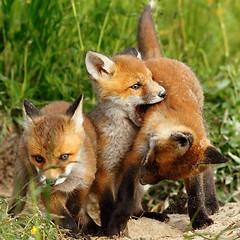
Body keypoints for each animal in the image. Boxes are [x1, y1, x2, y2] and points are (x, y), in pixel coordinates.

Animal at [7, 95, 97, 234]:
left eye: (64, 156)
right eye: (38, 158)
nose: (50, 181)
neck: (68, 182)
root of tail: (58, 102)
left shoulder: (85, 182)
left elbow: (75, 207)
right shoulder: (48, 191)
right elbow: (64, 216)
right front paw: (73, 231)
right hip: (21, 175)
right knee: (18, 202)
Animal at [85, 50, 167, 232]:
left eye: (151, 78)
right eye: (135, 86)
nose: (163, 93)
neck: (125, 140)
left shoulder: (134, 165)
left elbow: (128, 199)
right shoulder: (105, 170)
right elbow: (107, 204)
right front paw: (110, 227)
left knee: (138, 210)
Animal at [109, 2, 229, 235]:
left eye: (163, 173)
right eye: (154, 162)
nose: (142, 181)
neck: (175, 112)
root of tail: (156, 58)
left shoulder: (192, 171)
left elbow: (196, 195)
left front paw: (200, 219)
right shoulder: (136, 151)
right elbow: (126, 190)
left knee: (208, 176)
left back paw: (212, 204)